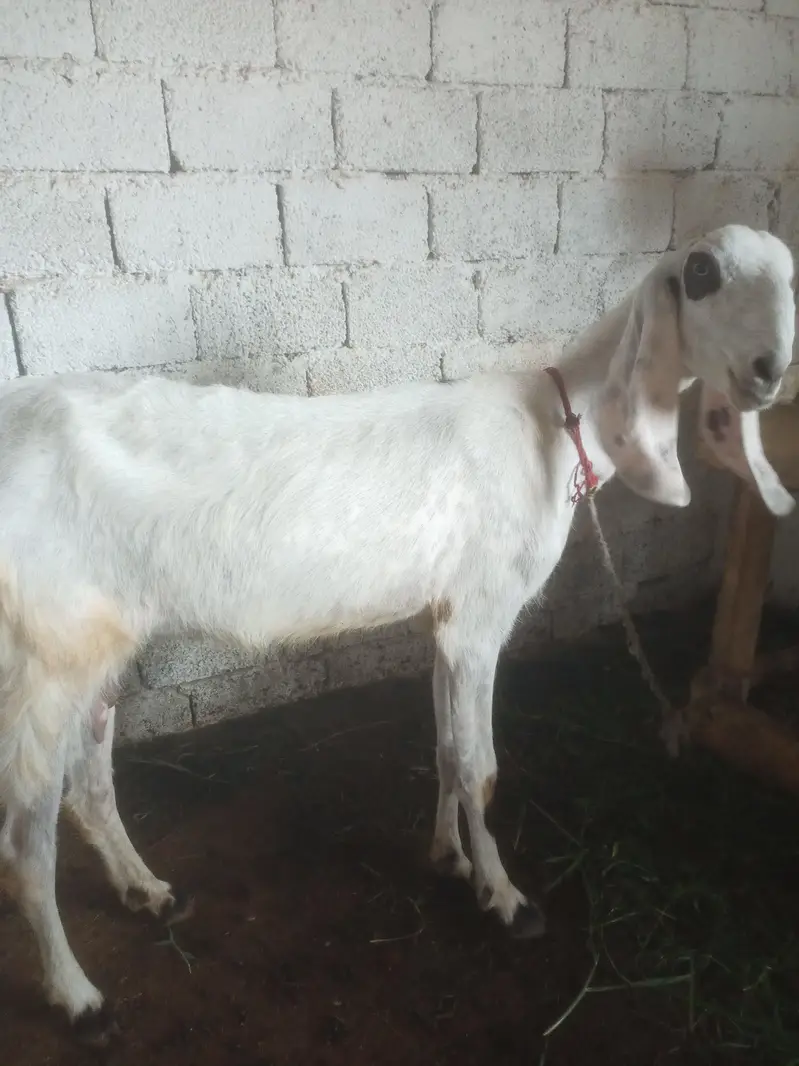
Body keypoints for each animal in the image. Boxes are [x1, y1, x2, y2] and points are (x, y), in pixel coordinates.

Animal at [0, 225, 795, 1043]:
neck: (552, 424)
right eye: (700, 273)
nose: (769, 371)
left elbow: (446, 749)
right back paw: (78, 998)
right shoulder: (479, 618)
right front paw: (507, 900)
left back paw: (149, 892)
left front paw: (449, 856)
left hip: (98, 641)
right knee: (25, 844)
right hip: (42, 654)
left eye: (788, 278)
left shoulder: (443, 619)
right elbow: (481, 767)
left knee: (89, 784)